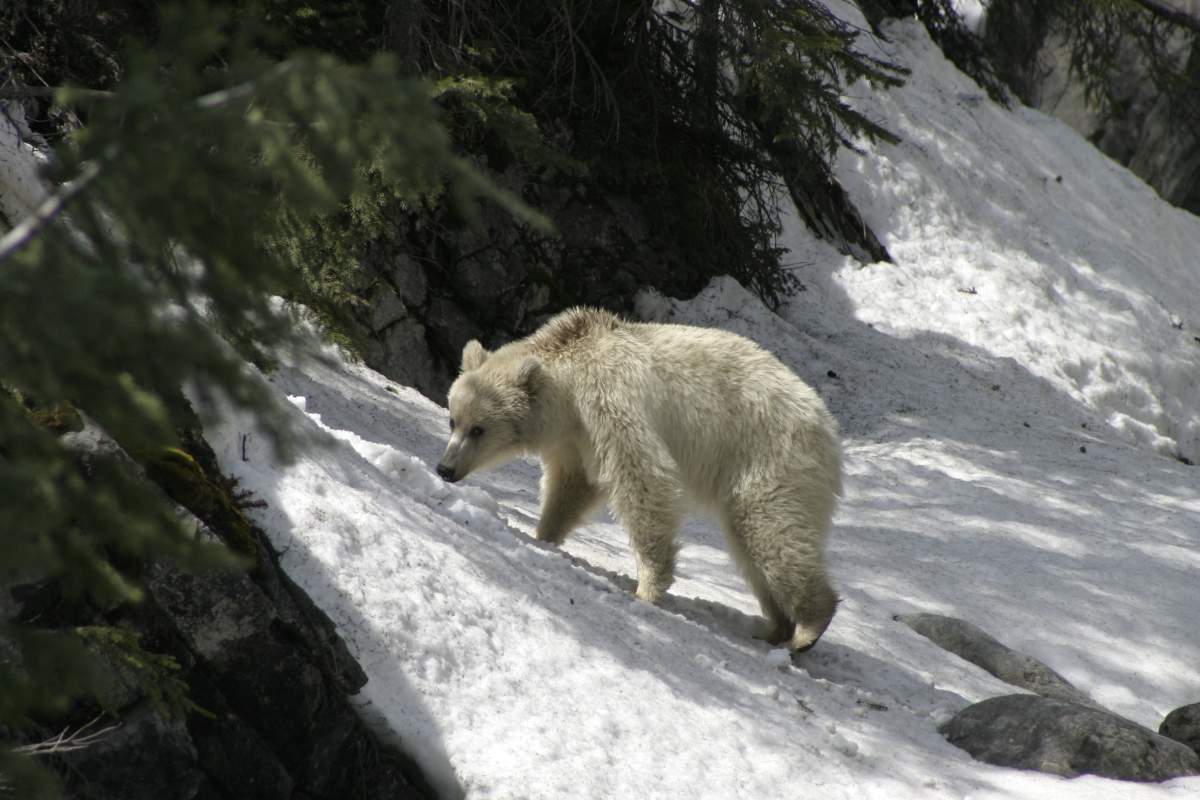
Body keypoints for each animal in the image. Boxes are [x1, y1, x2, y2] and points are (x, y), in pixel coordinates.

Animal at [436, 307, 843, 651]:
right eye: (453, 420)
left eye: (479, 429)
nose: (445, 469)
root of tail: (825, 423)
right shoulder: (575, 438)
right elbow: (571, 487)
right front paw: (544, 535)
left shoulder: (609, 401)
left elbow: (643, 479)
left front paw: (646, 589)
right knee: (750, 544)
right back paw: (775, 627)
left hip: (769, 457)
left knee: (771, 529)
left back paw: (807, 628)